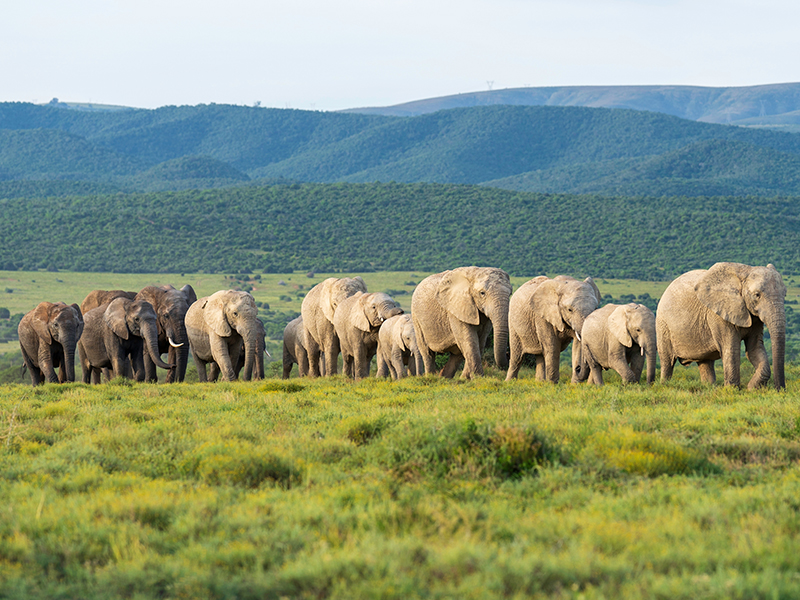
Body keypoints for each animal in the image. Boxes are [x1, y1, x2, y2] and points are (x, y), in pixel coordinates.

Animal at [656, 262, 786, 389]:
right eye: (757, 295)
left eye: (784, 295)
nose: (780, 389)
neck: (745, 272)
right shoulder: (719, 315)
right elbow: (731, 348)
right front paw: (732, 390)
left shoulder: (754, 318)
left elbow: (754, 348)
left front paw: (751, 389)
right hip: (663, 324)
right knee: (667, 361)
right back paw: (665, 386)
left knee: (705, 362)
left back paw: (709, 388)